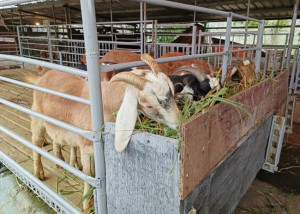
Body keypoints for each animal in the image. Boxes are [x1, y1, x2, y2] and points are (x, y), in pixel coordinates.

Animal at [25, 54, 180, 211]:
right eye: (148, 105)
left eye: (172, 92)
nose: (178, 123)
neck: (105, 103)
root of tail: (42, 77)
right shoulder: (88, 145)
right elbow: (90, 174)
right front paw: (87, 205)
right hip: (37, 117)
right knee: (36, 143)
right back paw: (39, 173)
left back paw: (62, 161)